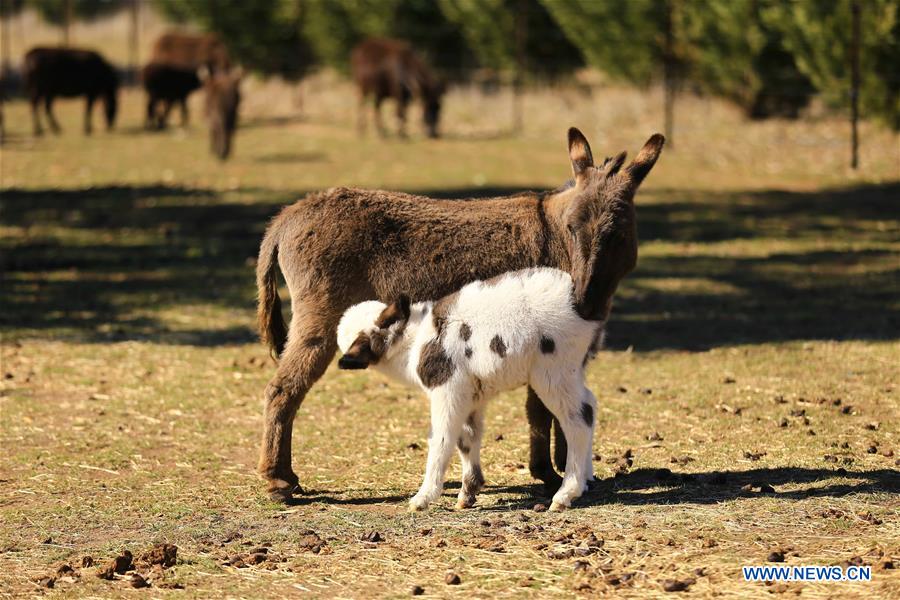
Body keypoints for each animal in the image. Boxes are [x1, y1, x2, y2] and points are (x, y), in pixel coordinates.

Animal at [338, 268, 604, 510]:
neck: (415, 339)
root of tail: (576, 300)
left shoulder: (448, 389)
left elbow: (442, 437)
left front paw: (423, 498)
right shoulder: (472, 396)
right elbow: (467, 437)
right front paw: (468, 493)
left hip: (552, 373)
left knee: (578, 420)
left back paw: (565, 494)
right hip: (571, 371)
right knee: (589, 405)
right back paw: (586, 478)